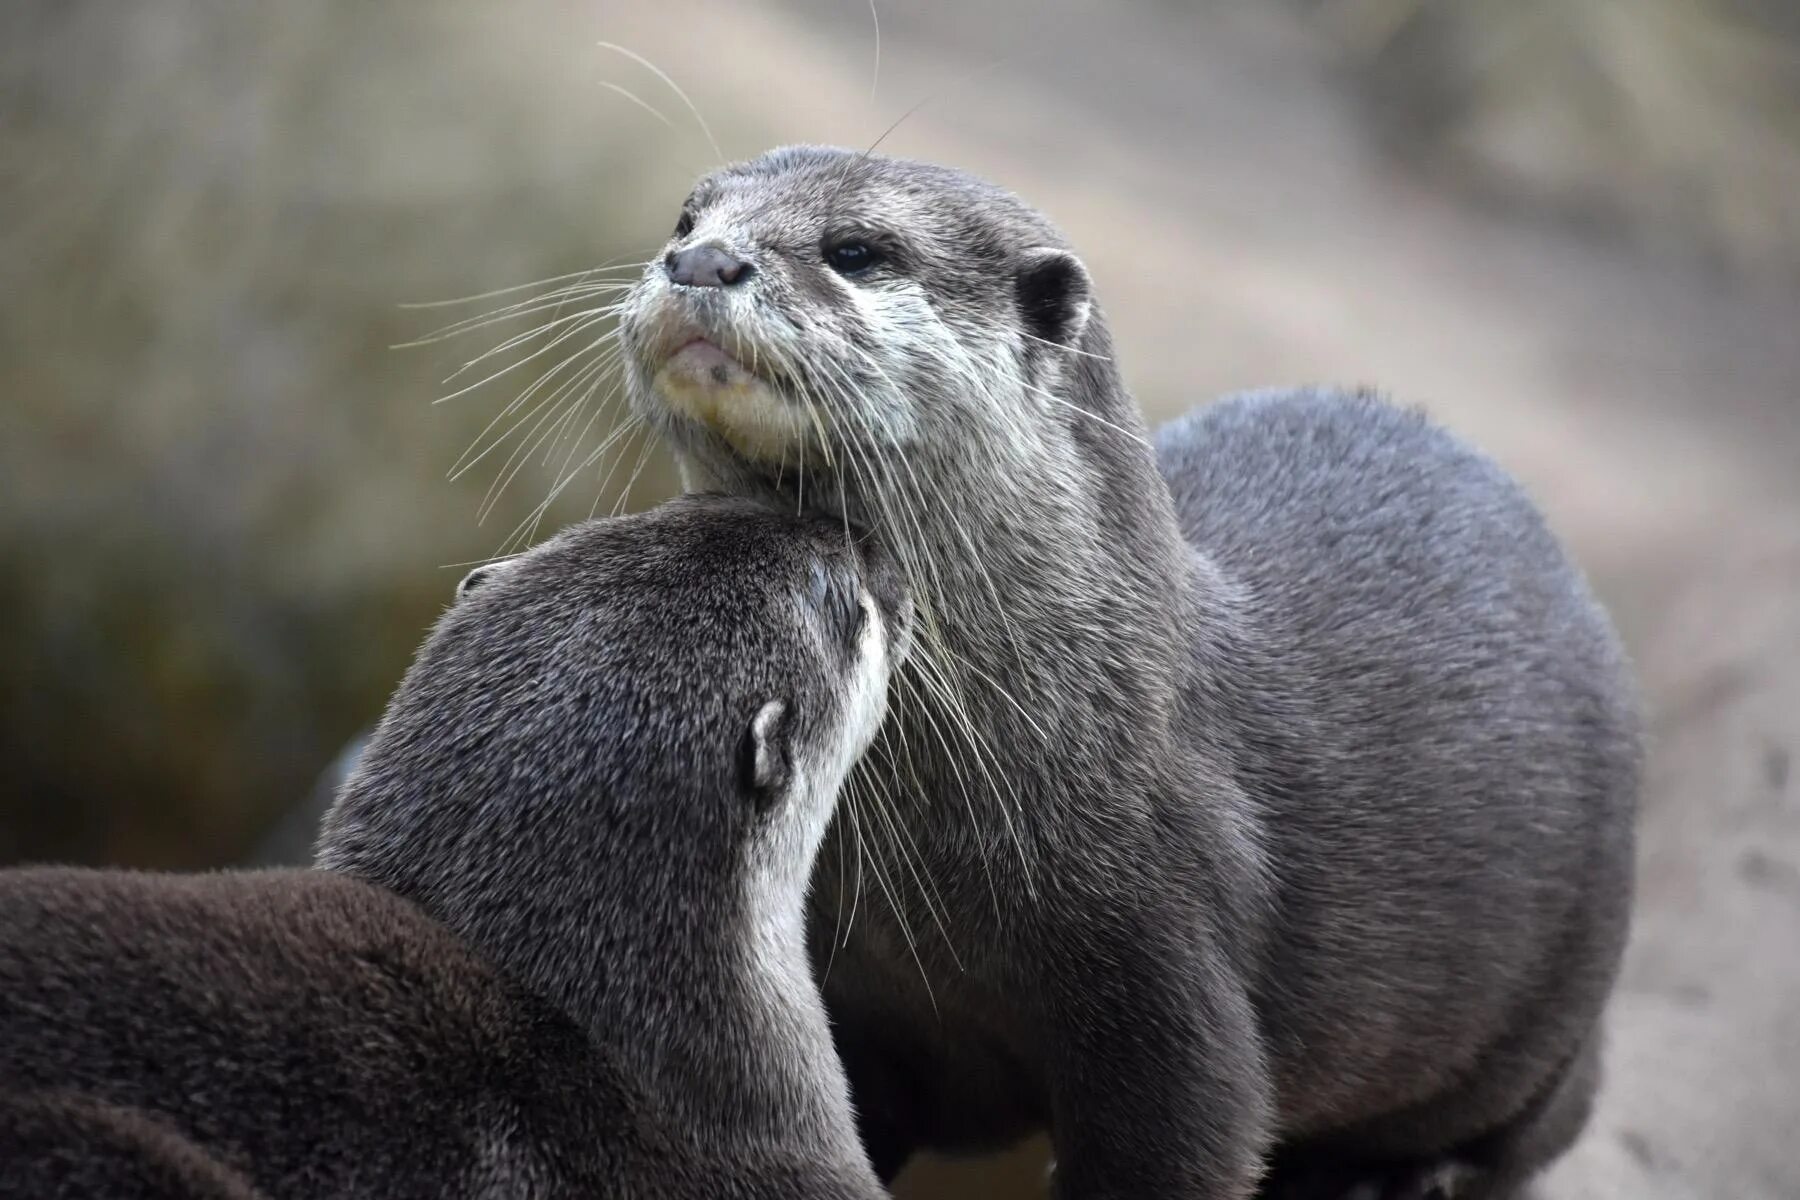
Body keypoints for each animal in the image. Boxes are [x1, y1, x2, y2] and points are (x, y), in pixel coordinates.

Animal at [619, 147, 1648, 1200]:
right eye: (685, 217)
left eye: (857, 250)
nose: (700, 261)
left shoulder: (1167, 953)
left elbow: (1195, 1135)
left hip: (1557, 999)